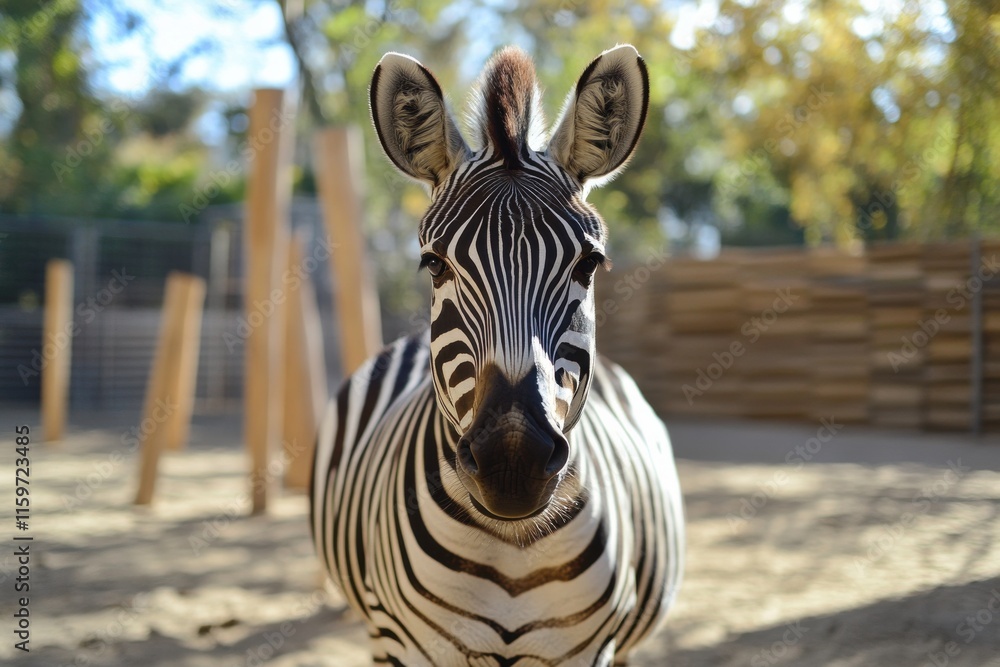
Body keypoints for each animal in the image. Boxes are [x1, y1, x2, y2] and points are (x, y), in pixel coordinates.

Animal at [311, 44, 684, 666]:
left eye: (589, 264)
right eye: (434, 264)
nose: (514, 462)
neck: (512, 547)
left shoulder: (590, 649)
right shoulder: (413, 646)